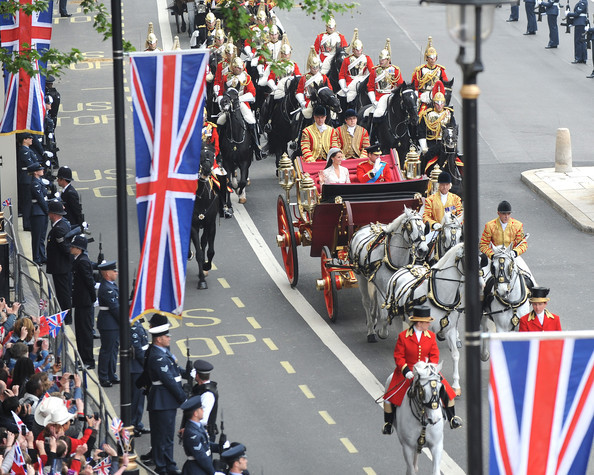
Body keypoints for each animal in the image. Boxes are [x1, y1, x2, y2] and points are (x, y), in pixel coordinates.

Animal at [346, 208, 426, 342]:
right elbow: (384, 314)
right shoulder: (383, 288)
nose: (423, 250)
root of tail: (366, 227)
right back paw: (370, 330)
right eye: (410, 226)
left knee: (374, 299)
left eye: (425, 227)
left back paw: (373, 319)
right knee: (366, 301)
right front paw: (382, 332)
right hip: (361, 277)